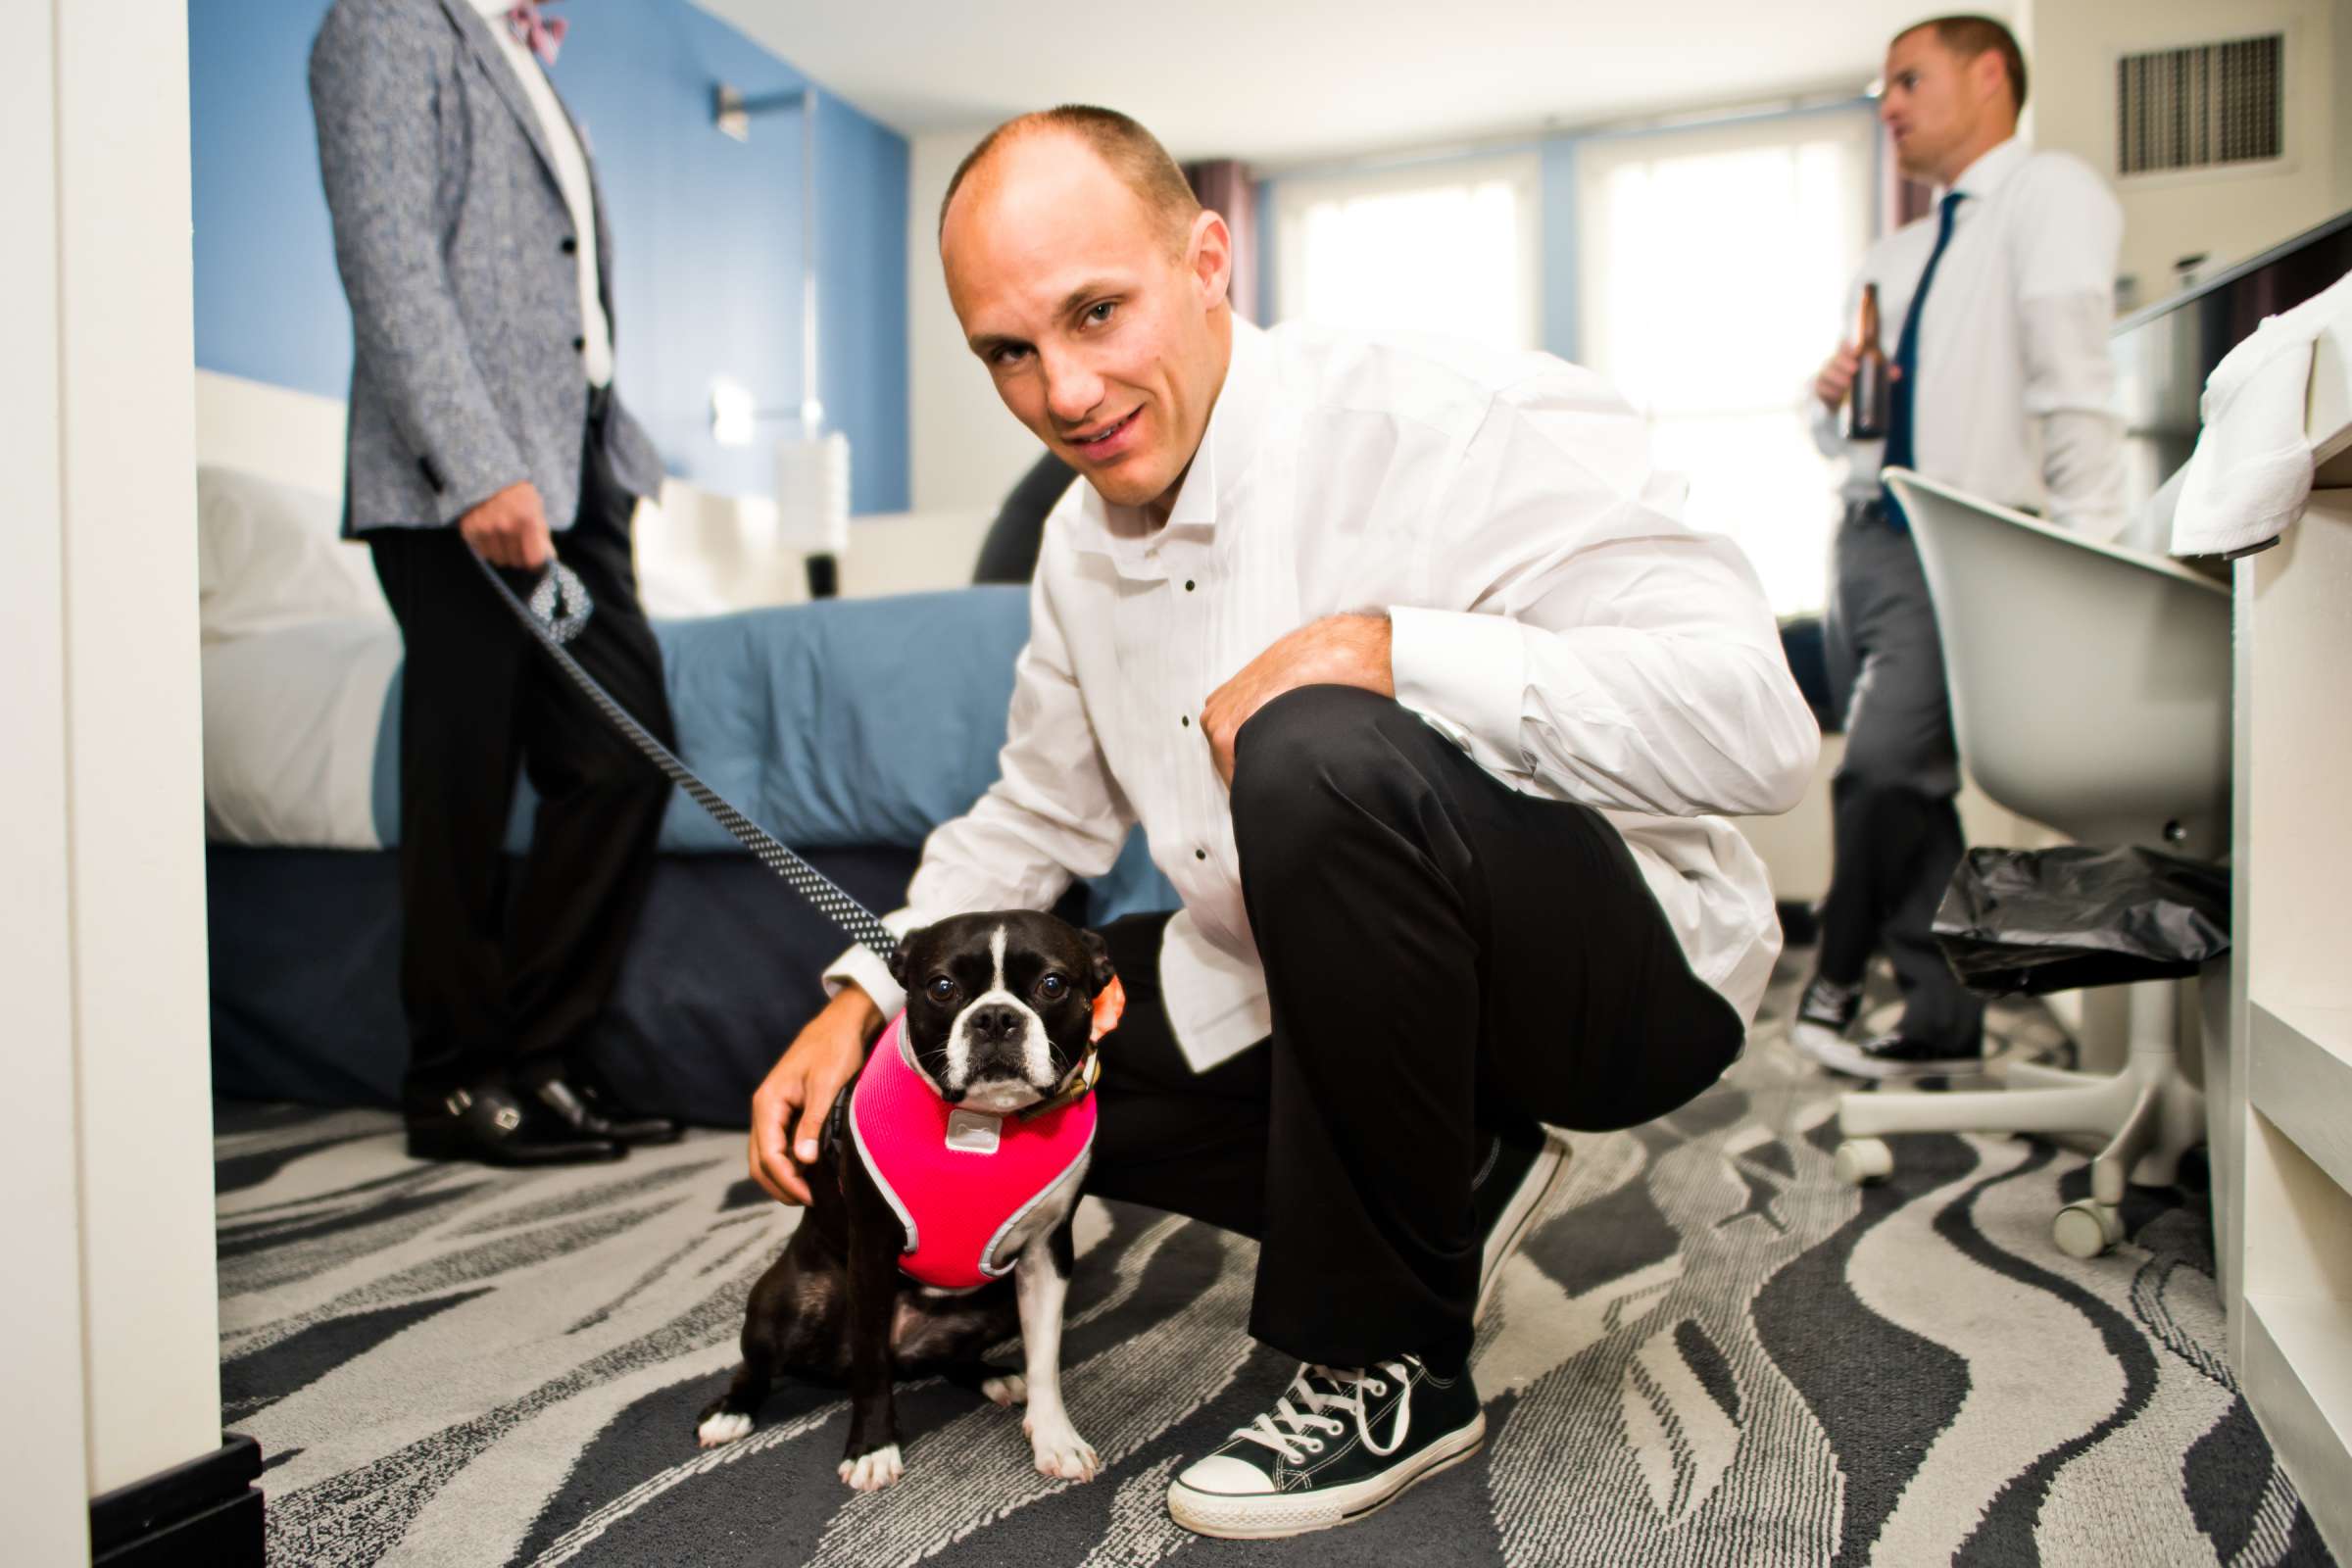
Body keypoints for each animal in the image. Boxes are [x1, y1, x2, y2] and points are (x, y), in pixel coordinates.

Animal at [691, 921, 1114, 1494]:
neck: (983, 1127)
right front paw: (873, 1447)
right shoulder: (872, 1255)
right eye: (940, 988)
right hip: (787, 1302)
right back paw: (730, 1411)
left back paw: (994, 1377)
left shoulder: (1047, 1256)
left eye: (1052, 984)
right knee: (761, 1365)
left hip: (998, 1302)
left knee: (955, 1357)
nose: (995, 1017)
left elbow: (1046, 1355)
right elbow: (872, 1366)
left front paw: (1055, 1438)